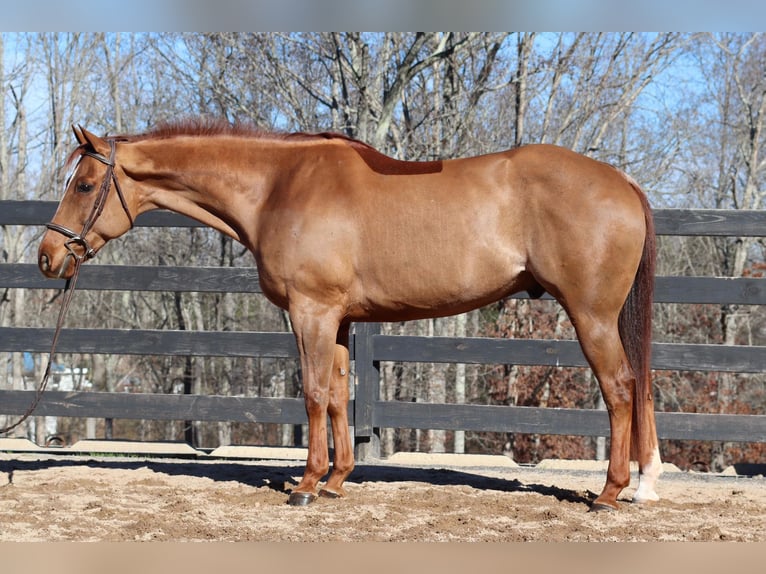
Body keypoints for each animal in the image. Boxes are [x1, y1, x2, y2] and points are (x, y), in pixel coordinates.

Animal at [36, 119, 664, 510]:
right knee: (640, 388)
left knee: (621, 388)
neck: (279, 187)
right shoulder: (337, 319)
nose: (47, 257)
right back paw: (640, 485)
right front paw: (337, 480)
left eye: (85, 184)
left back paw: (610, 493)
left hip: (592, 316)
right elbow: (339, 392)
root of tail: (623, 183)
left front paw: (307, 484)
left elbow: (314, 392)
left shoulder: (310, 312)